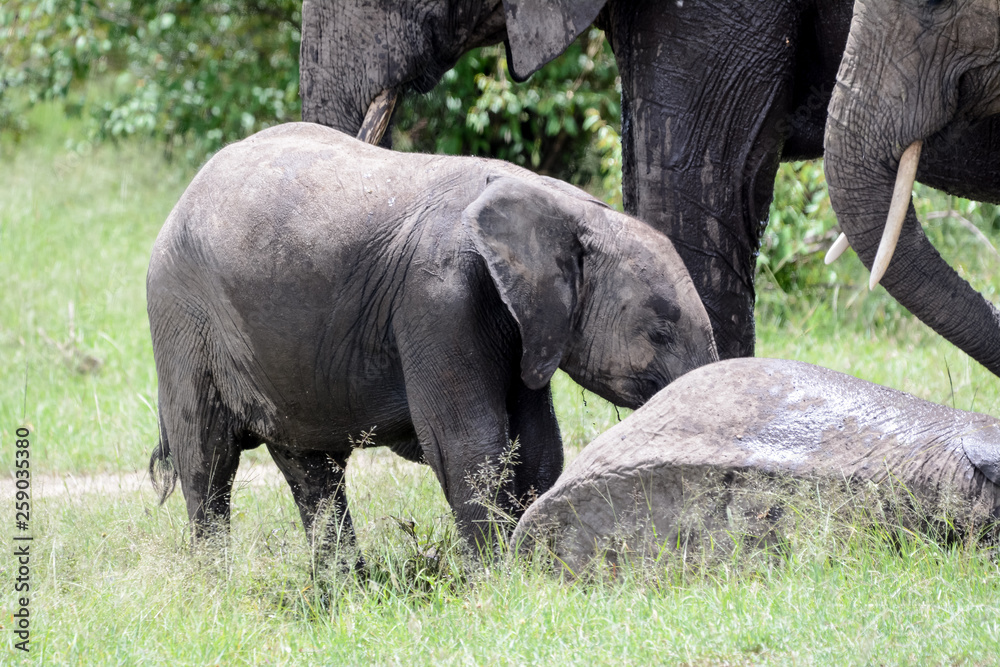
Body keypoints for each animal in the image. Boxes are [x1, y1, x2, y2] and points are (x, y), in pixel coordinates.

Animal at [146, 122, 718, 554]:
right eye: (660, 332)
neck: (562, 206)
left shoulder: (524, 322)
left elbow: (537, 445)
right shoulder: (438, 300)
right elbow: (470, 446)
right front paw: (502, 584)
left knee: (312, 471)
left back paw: (345, 596)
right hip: (181, 317)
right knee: (207, 466)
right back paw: (220, 587)